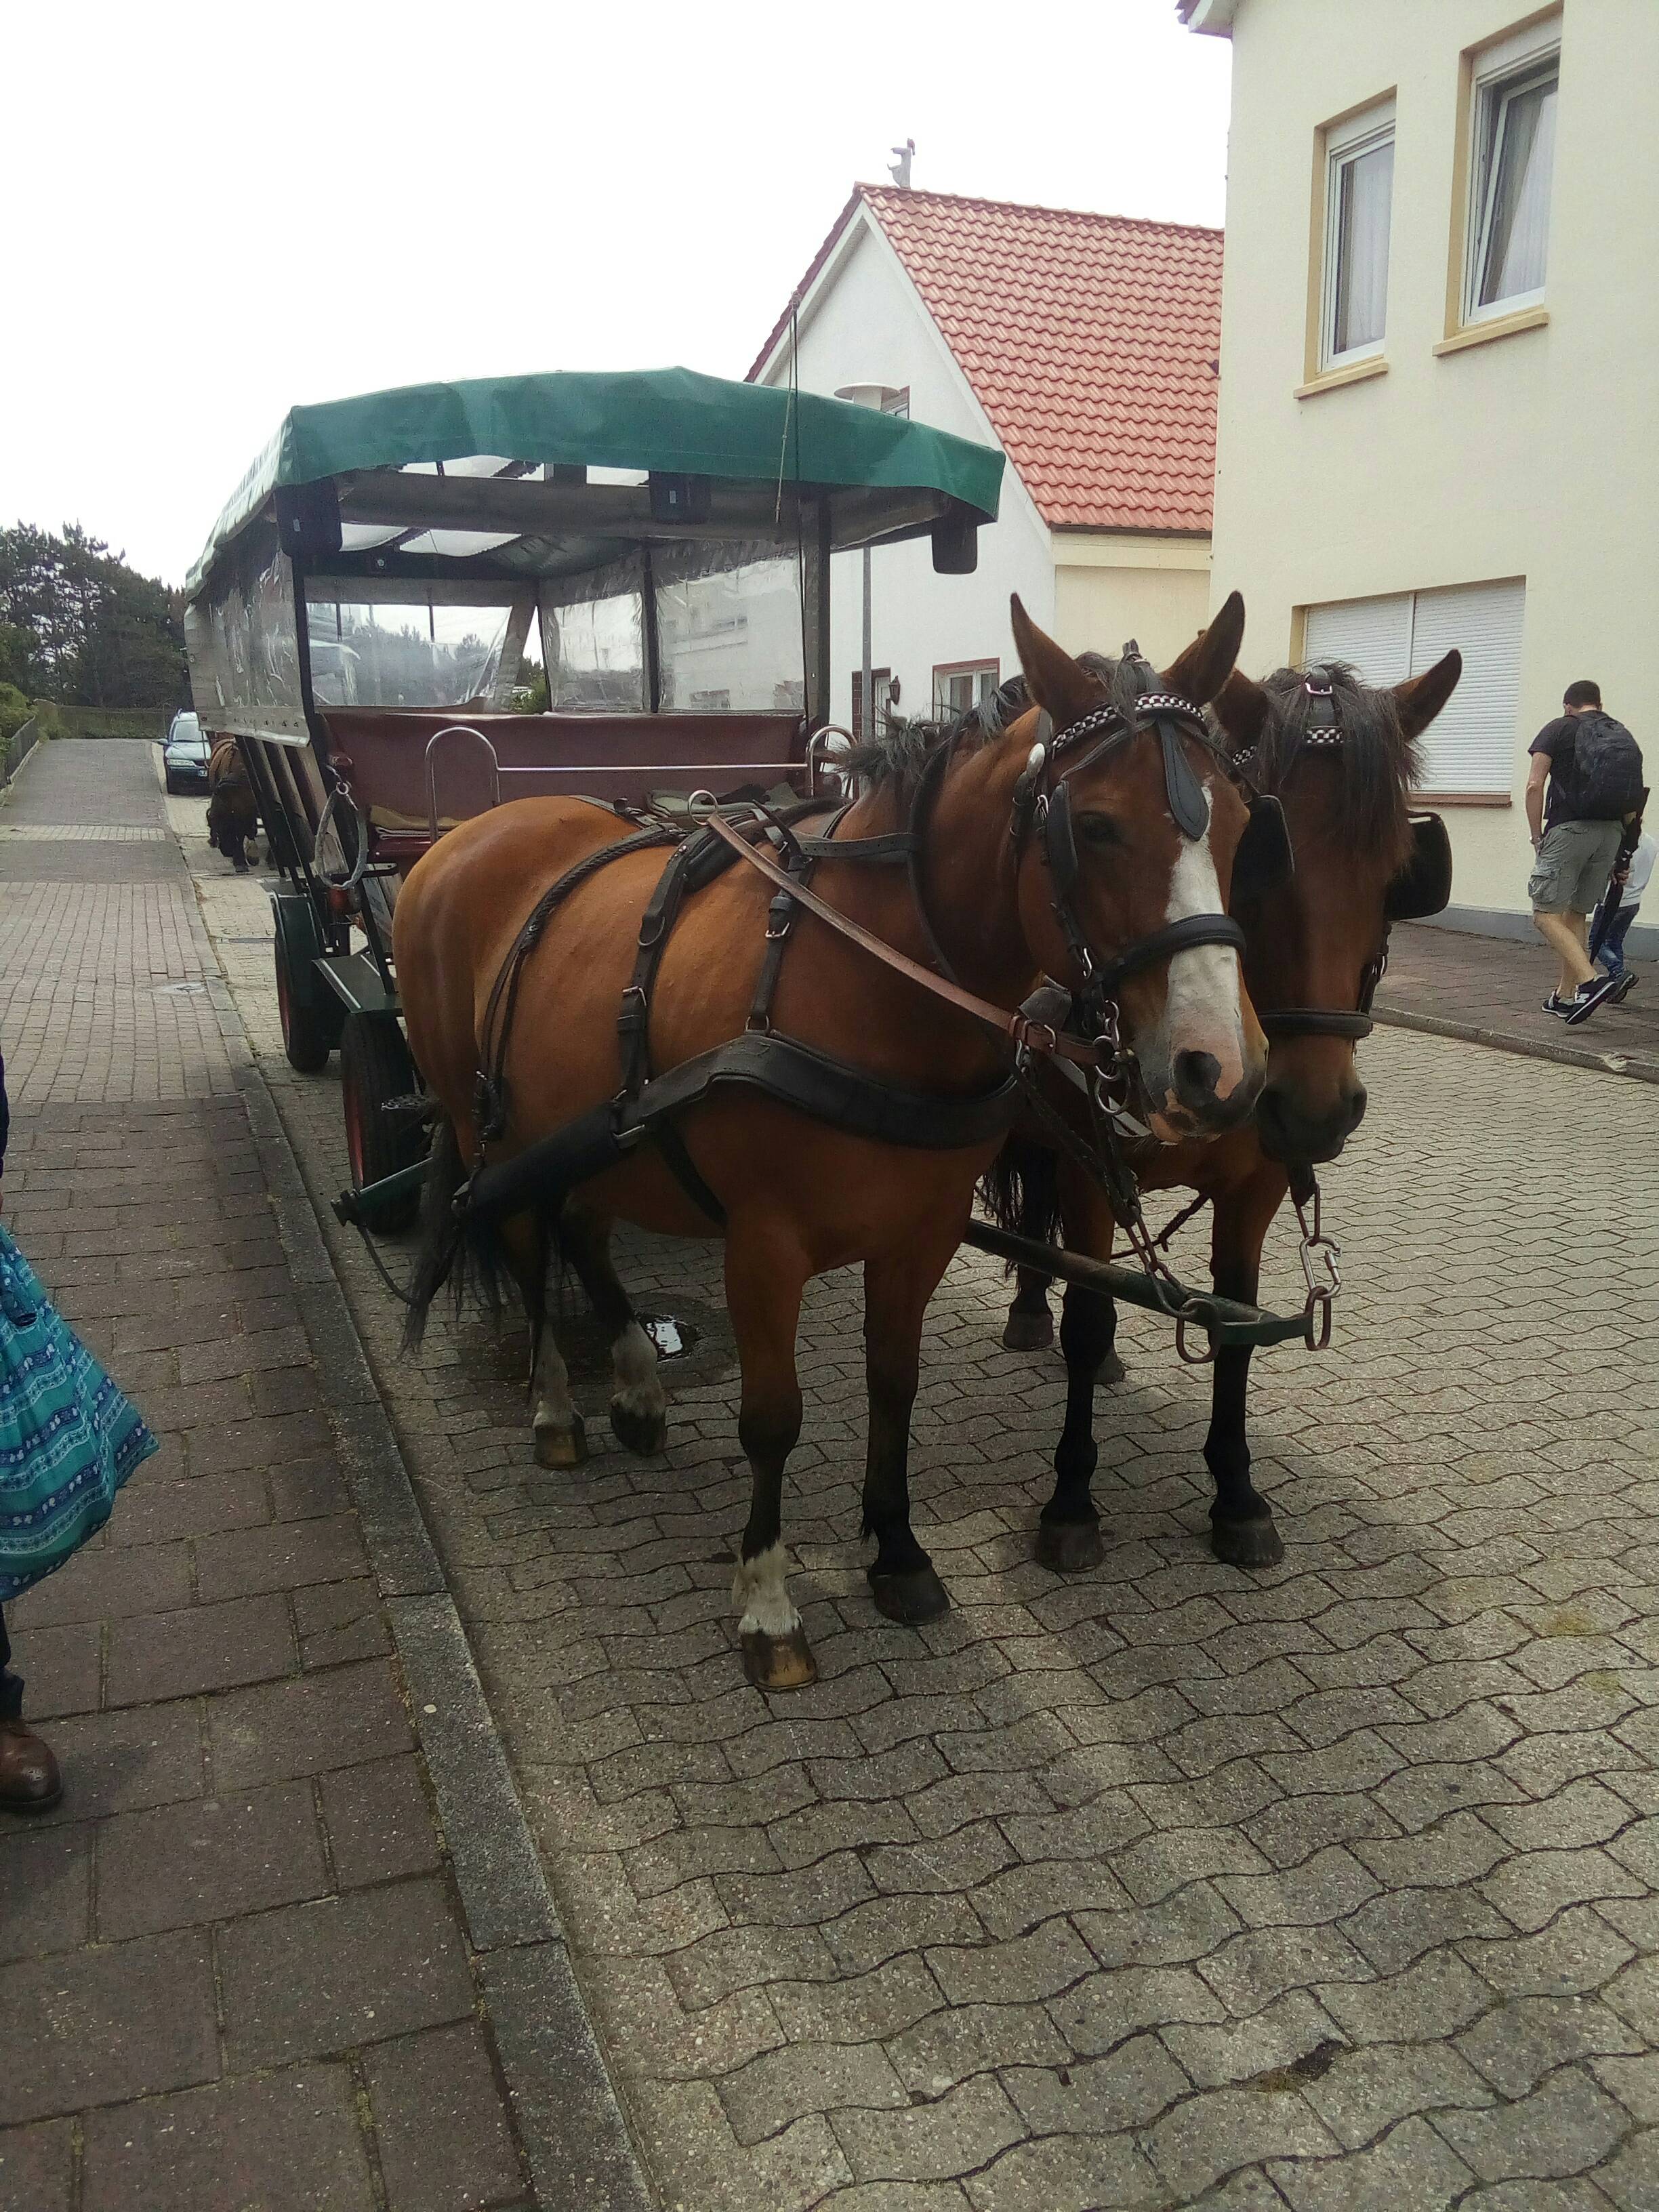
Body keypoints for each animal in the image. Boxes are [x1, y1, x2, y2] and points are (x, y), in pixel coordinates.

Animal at [396, 597, 1265, 1681]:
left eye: (1240, 824)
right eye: (1096, 827)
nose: (1217, 1071)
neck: (860, 974)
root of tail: (467, 834)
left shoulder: (918, 1234)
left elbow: (895, 1383)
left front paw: (895, 1550)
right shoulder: (764, 1248)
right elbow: (774, 1418)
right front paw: (769, 1602)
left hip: (603, 1126)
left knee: (586, 1233)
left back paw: (635, 1384)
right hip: (490, 1127)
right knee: (521, 1238)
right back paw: (557, 1407)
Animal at [995, 650, 1460, 1574]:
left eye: (1400, 871)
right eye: (1267, 867)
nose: (1316, 1109)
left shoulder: (1258, 1188)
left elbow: (1238, 1328)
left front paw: (1238, 1496)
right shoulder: (1095, 1171)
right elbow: (1091, 1315)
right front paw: (1072, 1501)